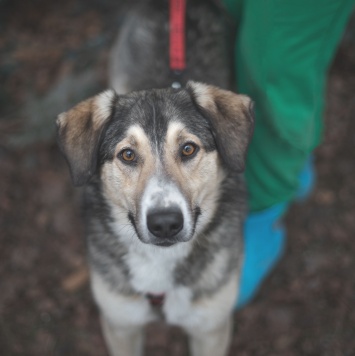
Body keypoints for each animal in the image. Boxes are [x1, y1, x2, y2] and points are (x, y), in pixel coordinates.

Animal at [57, 0, 254, 356]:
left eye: (188, 149)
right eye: (127, 155)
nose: (165, 223)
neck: (161, 261)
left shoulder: (211, 326)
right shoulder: (120, 323)